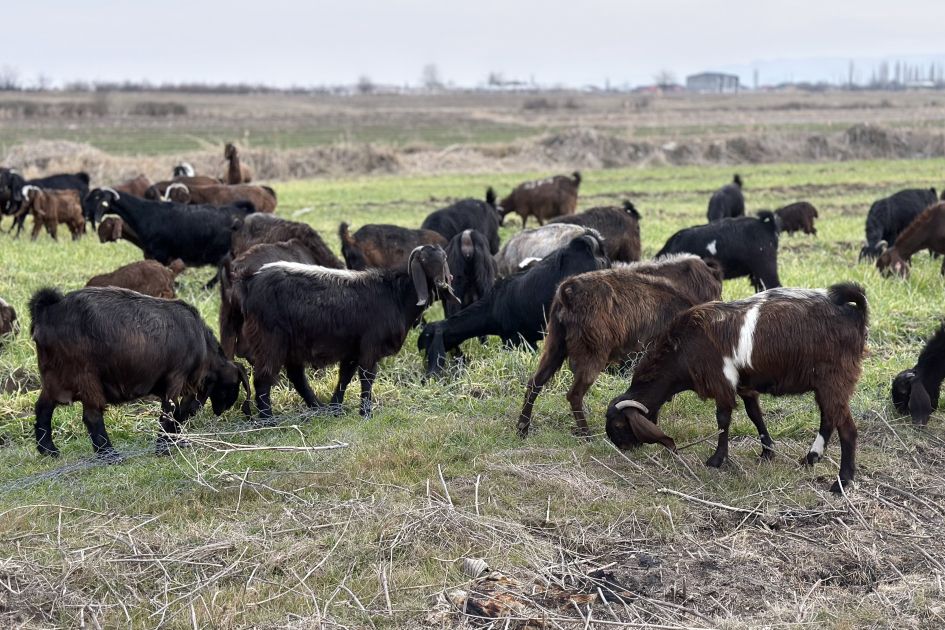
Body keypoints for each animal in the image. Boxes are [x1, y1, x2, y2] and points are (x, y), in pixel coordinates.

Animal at [29, 286, 250, 458]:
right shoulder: (176, 378)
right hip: (85, 376)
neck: (201, 344)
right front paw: (163, 449)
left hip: (54, 379)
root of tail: (48, 310)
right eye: (235, 384)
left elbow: (180, 413)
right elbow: (170, 413)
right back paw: (109, 455)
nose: (222, 409)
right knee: (92, 416)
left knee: (42, 408)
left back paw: (48, 450)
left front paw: (176, 441)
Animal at [239, 245, 456, 420]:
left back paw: (318, 407)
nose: (442, 283)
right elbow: (367, 376)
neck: (396, 295)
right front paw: (366, 413)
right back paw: (268, 419)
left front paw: (336, 408)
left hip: (292, 344)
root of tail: (251, 281)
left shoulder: (353, 349)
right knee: (263, 377)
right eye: (425, 261)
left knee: (296, 376)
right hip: (271, 340)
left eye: (444, 259)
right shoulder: (370, 346)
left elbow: (345, 376)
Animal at [518, 254, 724, 437]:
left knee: (534, 383)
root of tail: (569, 291)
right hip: (592, 355)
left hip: (555, 348)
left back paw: (522, 428)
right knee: (574, 394)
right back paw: (585, 434)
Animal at [605, 283, 868, 493]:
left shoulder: (721, 381)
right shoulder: (745, 385)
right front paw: (767, 452)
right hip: (826, 385)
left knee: (847, 429)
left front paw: (716, 460)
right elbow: (755, 415)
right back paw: (811, 458)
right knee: (828, 418)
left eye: (619, 425)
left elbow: (723, 420)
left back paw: (841, 483)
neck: (682, 348)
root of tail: (854, 313)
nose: (621, 447)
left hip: (834, 380)